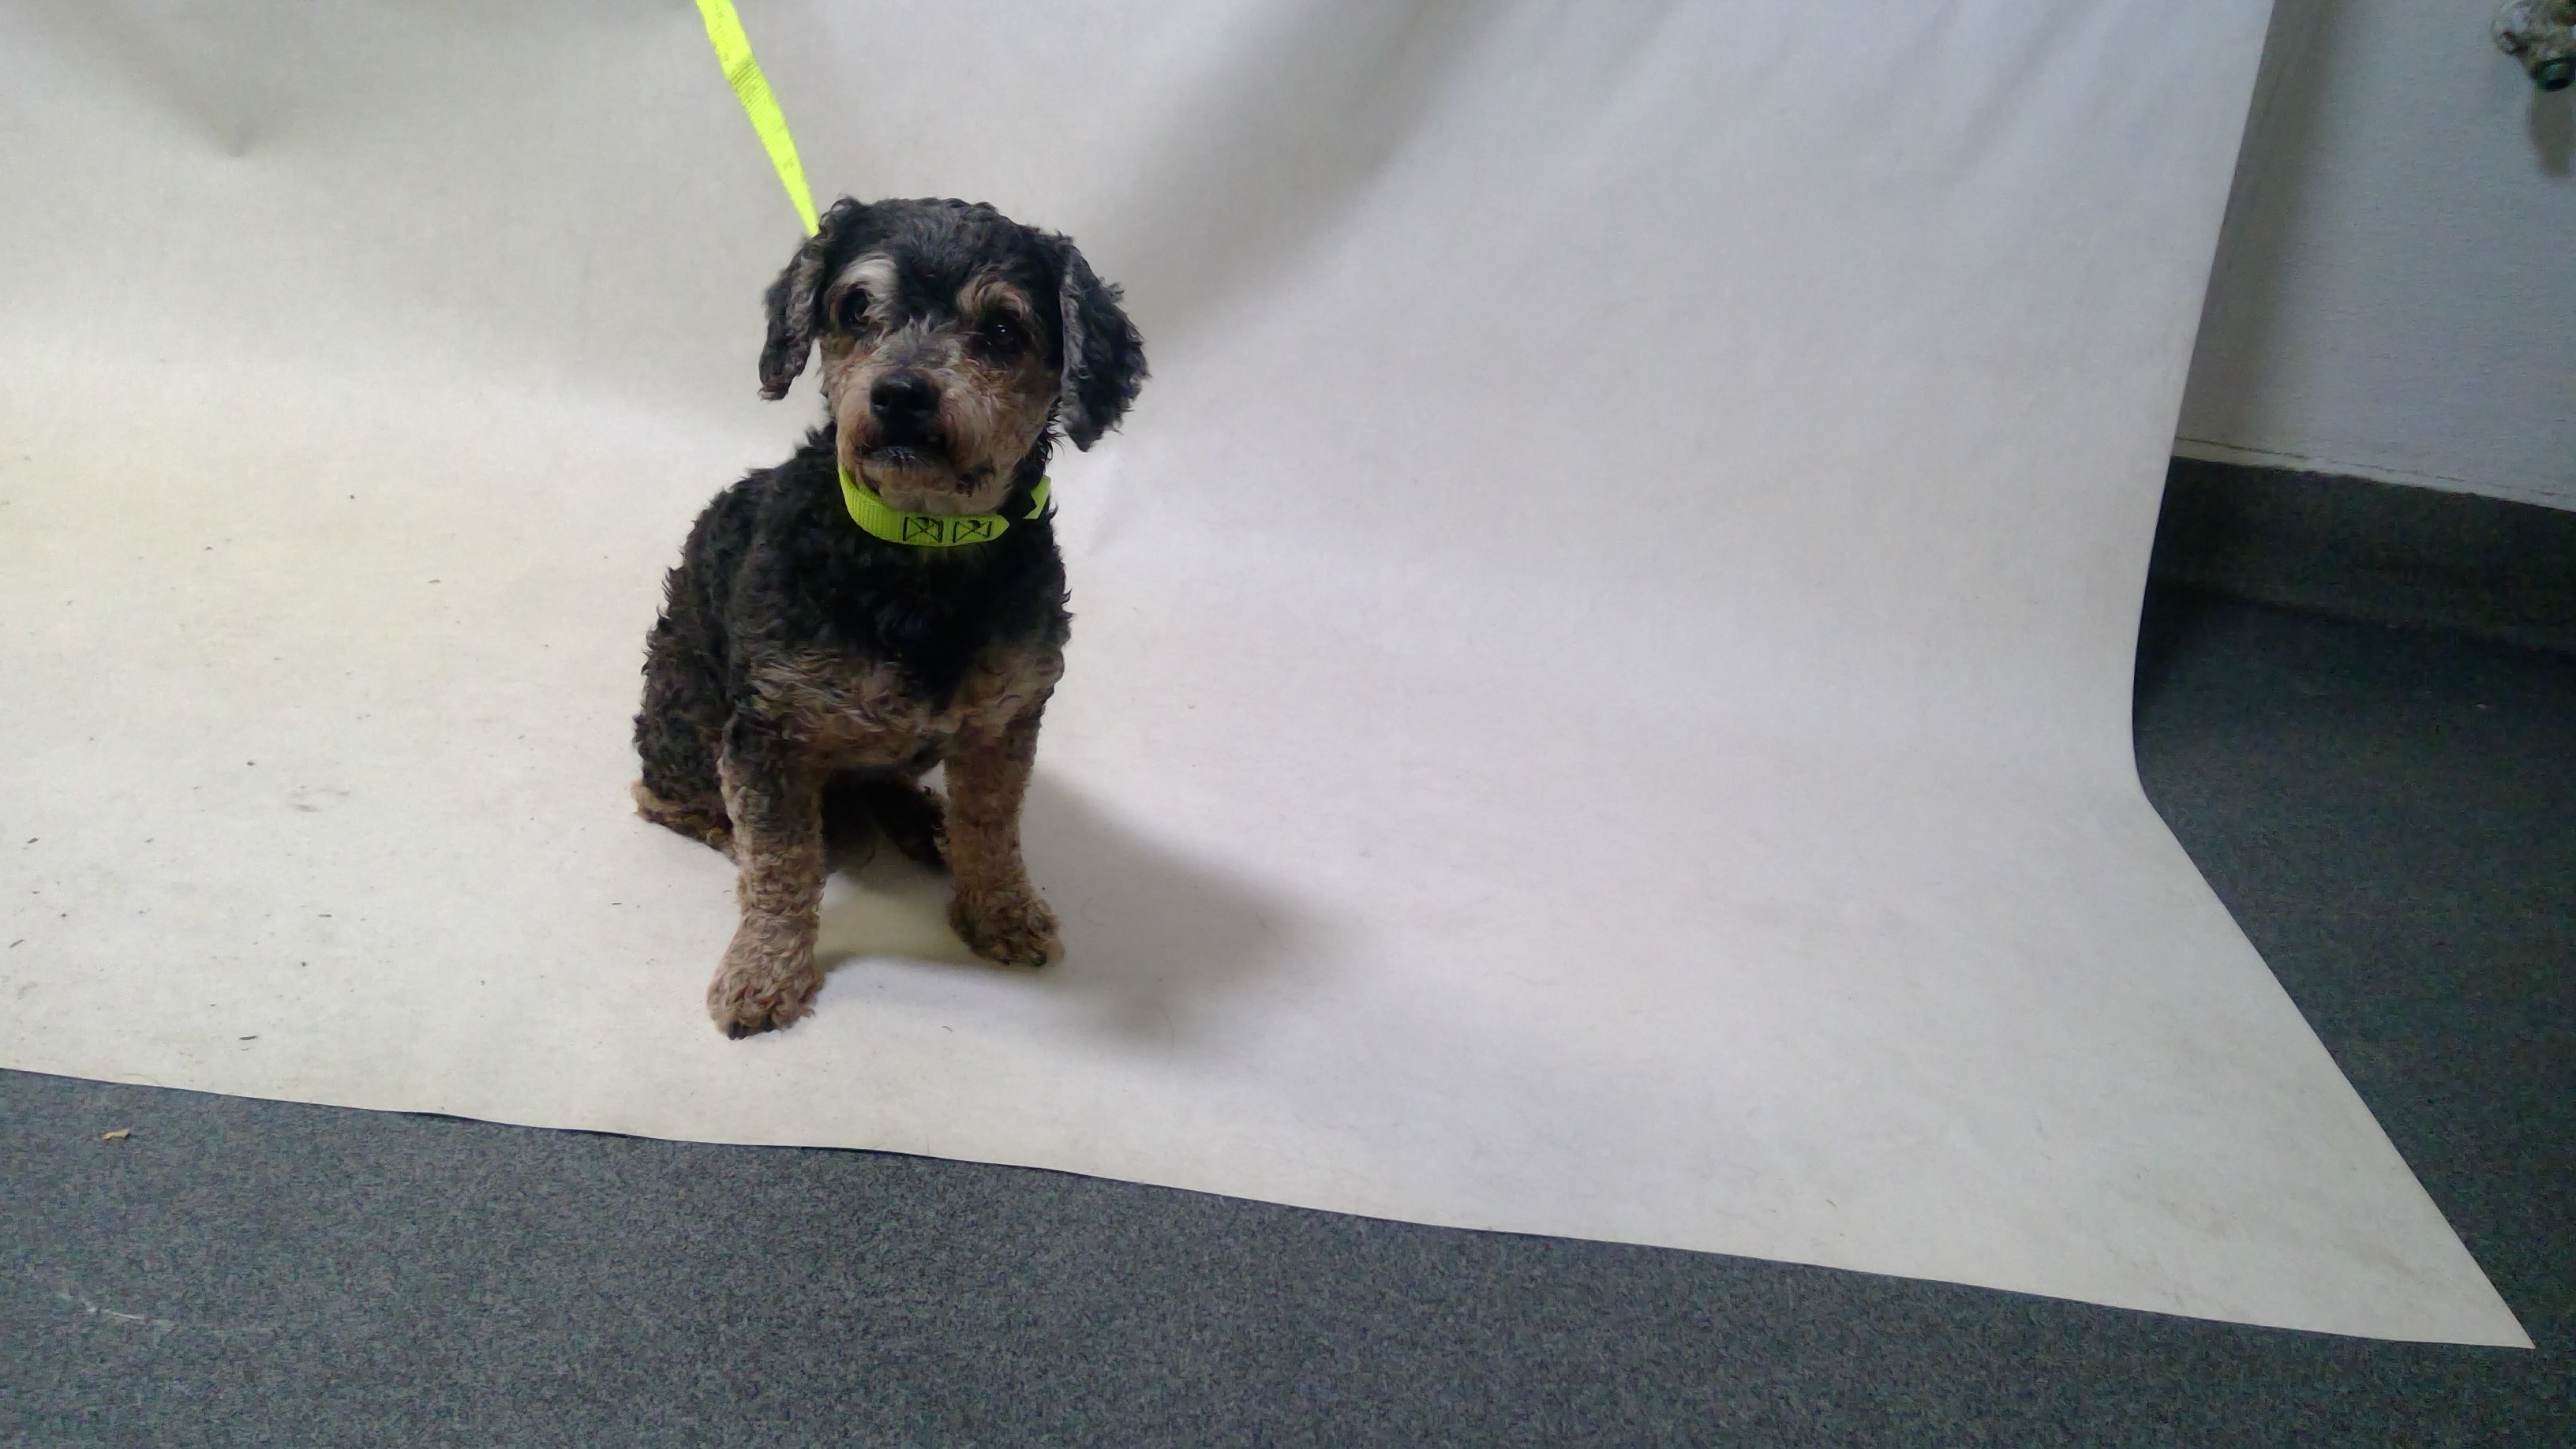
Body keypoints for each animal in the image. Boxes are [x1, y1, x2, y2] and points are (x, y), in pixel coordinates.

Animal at [633, 197, 1146, 1037]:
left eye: (1003, 329)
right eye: (855, 307)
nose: (902, 393)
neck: (916, 542)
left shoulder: (1008, 717)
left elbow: (993, 826)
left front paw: (1001, 911)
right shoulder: (767, 732)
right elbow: (781, 863)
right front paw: (763, 969)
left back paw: (922, 820)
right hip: (685, 710)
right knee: (667, 798)